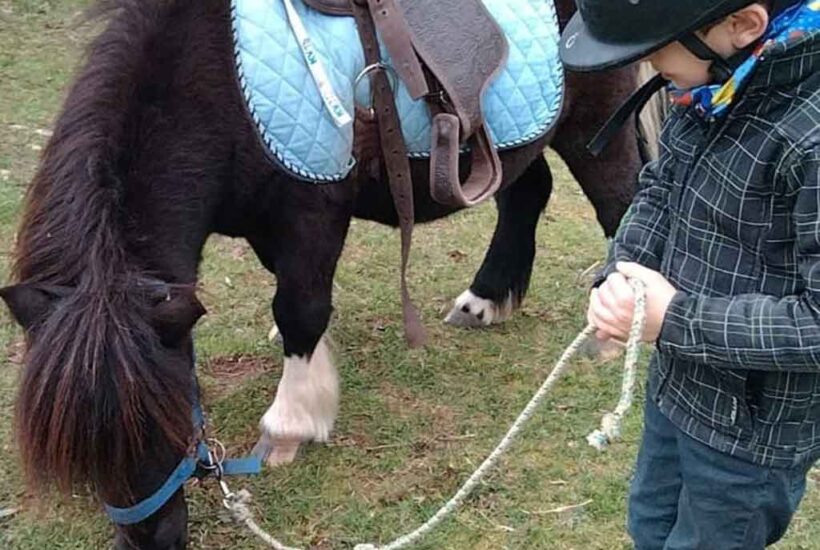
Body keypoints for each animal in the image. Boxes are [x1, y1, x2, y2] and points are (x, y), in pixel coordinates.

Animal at [0, 0, 640, 548]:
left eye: (168, 413)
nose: (153, 541)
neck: (215, 82)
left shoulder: (314, 207)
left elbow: (301, 307)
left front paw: (289, 427)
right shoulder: (265, 221)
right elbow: (298, 298)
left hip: (592, 125)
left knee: (620, 201)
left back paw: (610, 335)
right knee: (528, 194)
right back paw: (482, 301)